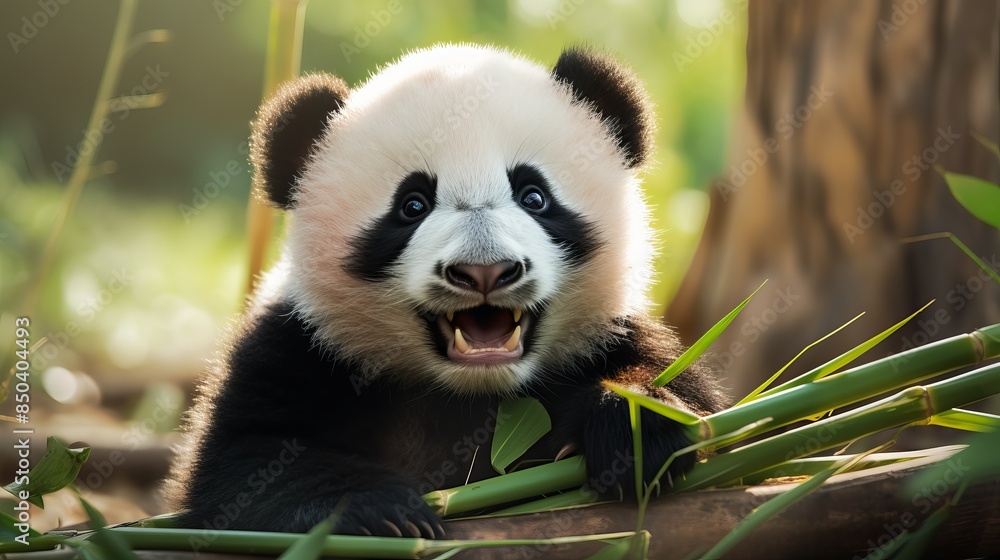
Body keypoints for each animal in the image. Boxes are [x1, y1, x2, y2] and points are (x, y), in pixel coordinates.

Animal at [167, 44, 726, 538]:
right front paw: (381, 510)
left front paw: (634, 424)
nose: (485, 272)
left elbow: (697, 409)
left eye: (534, 196)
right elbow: (242, 468)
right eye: (412, 205)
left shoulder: (611, 335)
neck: (468, 392)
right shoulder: (300, 344)